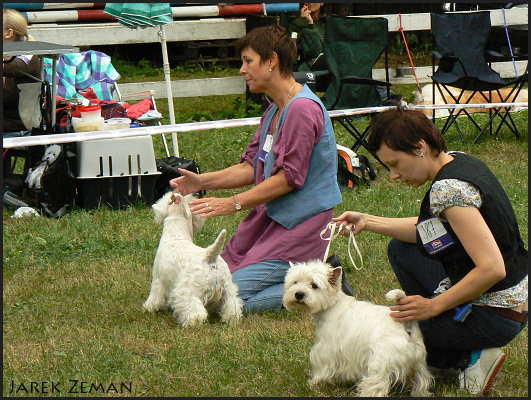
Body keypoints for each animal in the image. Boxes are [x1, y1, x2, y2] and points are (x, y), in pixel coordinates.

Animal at [143, 192, 243, 326]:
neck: (175, 234)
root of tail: (209, 256)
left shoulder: (158, 280)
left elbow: (155, 296)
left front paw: (148, 308)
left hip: (188, 291)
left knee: (197, 313)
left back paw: (191, 323)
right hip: (228, 289)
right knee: (232, 306)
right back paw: (232, 320)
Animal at [282, 260, 432, 396]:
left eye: (314, 285)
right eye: (295, 282)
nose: (298, 294)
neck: (332, 305)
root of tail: (404, 324)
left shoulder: (325, 350)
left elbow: (322, 369)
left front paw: (313, 384)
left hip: (380, 363)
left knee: (376, 385)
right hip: (419, 363)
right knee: (422, 382)